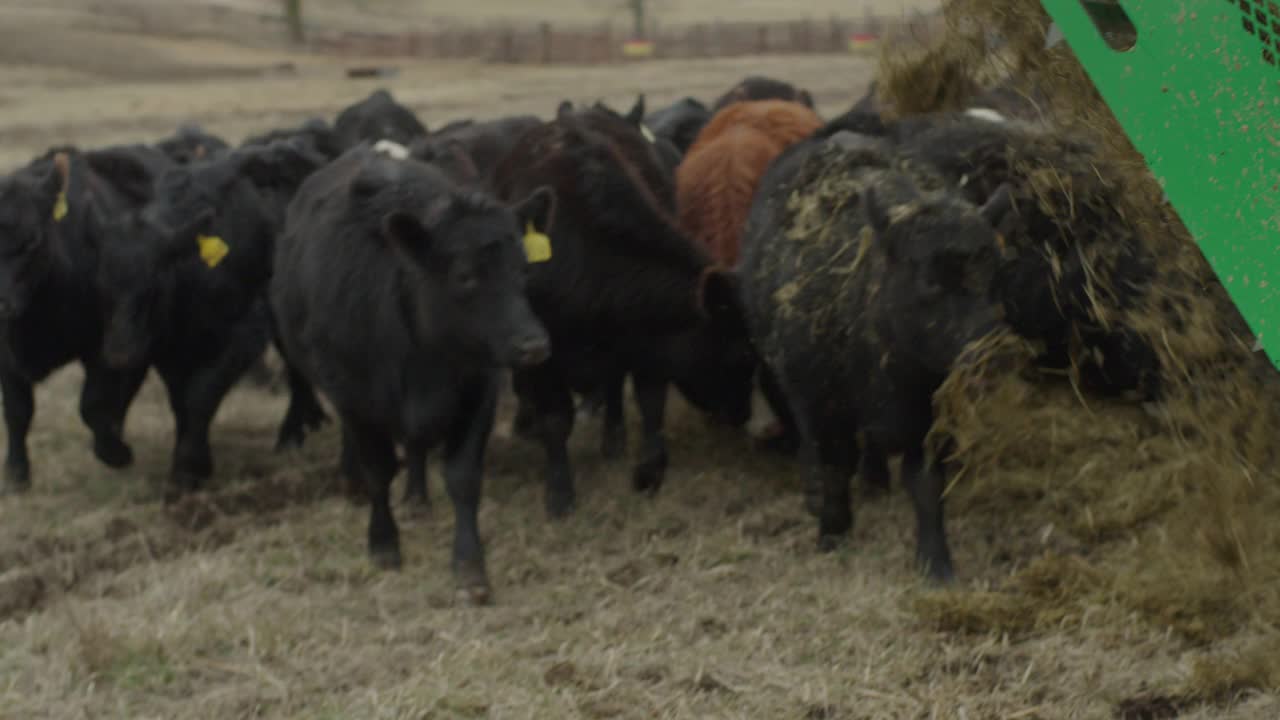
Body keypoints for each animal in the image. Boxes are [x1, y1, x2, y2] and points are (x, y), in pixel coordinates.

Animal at [270, 142, 550, 602]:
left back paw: (417, 497)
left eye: (524, 269)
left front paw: (470, 566)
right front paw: (383, 543)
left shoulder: (479, 389)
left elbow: (463, 477)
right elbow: (379, 468)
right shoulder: (355, 397)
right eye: (464, 276)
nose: (533, 344)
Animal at [491, 106, 747, 515]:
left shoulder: (644, 342)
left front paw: (649, 470)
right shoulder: (541, 356)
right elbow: (556, 419)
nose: (740, 416)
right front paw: (559, 492)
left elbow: (650, 403)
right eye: (741, 355)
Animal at [737, 134, 1013, 584]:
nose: (994, 351)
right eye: (929, 280)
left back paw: (874, 477)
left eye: (996, 271)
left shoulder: (930, 419)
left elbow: (926, 484)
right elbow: (834, 466)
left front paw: (935, 561)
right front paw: (832, 531)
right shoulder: (822, 405)